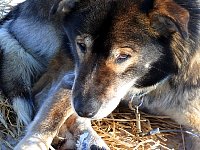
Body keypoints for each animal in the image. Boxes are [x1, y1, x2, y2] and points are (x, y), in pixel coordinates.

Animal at [1, 0, 200, 149]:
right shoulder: (72, 80)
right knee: (42, 95)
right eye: (81, 45)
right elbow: (50, 117)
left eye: (123, 56)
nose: (84, 109)